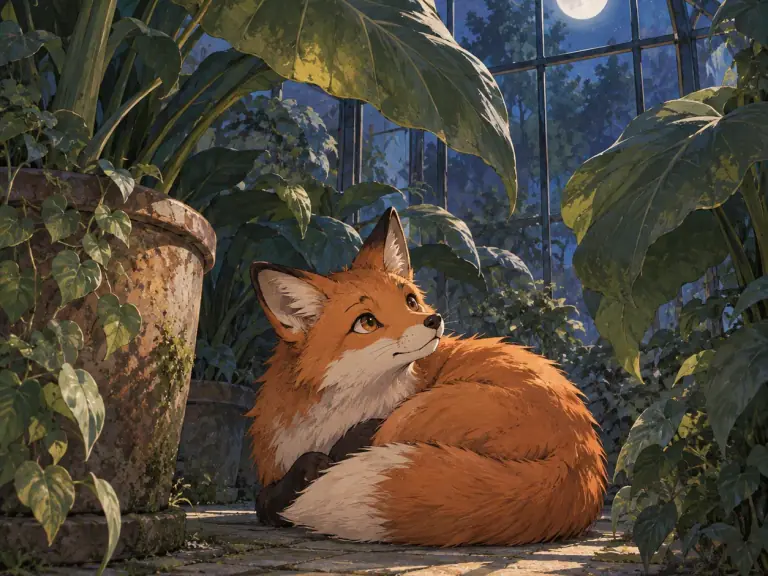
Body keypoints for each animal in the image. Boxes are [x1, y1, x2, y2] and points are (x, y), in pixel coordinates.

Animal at [246, 207, 607, 546]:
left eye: (410, 301)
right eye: (366, 322)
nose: (433, 320)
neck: (335, 412)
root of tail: (584, 452)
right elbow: (265, 499)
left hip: (417, 411)